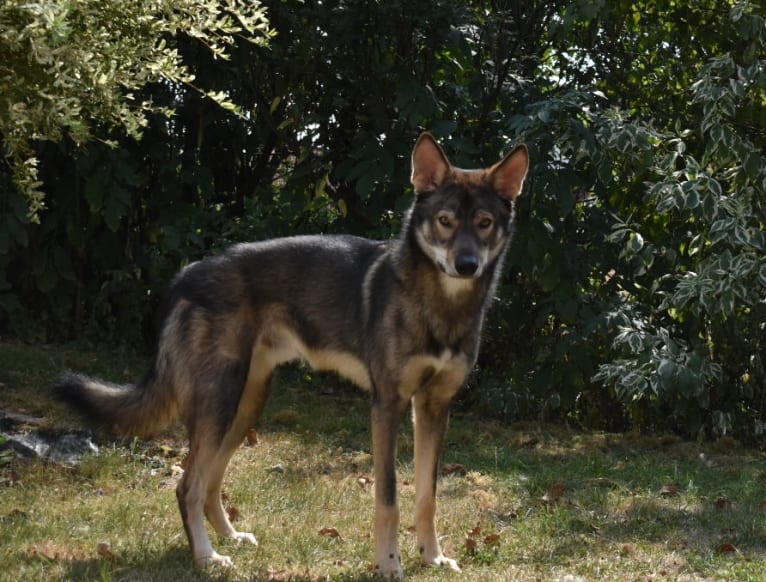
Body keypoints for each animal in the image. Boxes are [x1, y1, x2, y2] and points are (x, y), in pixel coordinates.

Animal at [57, 133, 532, 580]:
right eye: (445, 222)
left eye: (485, 223)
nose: (466, 264)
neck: (441, 305)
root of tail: (186, 275)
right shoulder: (387, 406)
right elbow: (389, 497)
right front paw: (389, 564)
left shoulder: (433, 407)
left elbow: (428, 496)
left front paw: (432, 558)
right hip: (219, 402)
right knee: (187, 485)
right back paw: (208, 557)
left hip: (245, 406)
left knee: (210, 480)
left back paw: (230, 536)